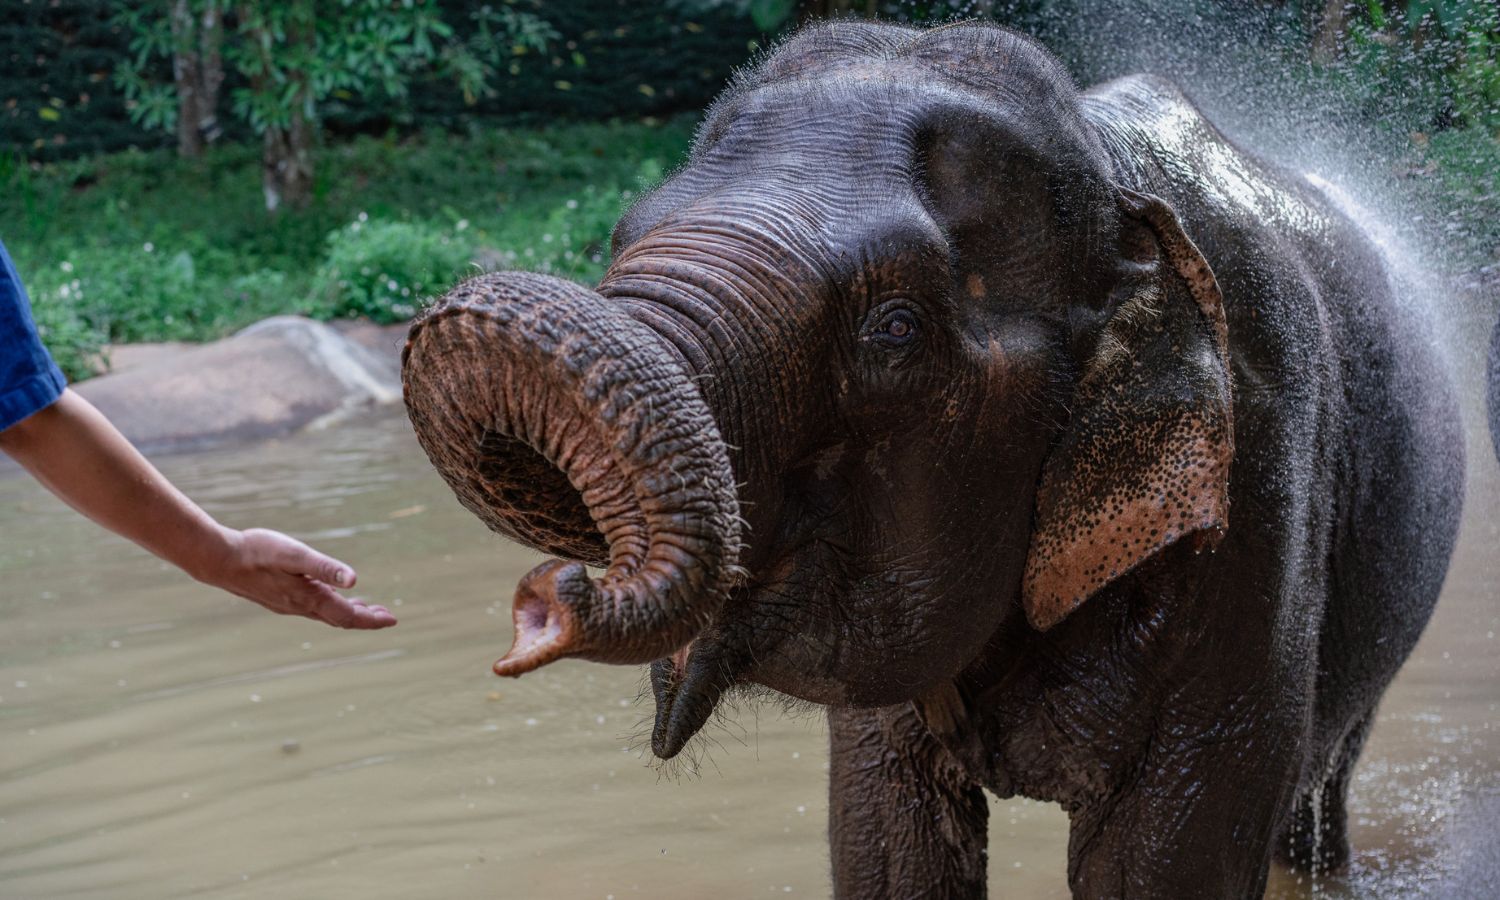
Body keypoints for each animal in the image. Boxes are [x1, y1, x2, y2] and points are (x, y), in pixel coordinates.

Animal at [399, 21, 1464, 900]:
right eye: (619, 240)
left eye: (895, 329)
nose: (545, 598)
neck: (1110, 175)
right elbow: (886, 842)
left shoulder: (1258, 496)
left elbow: (1165, 862)